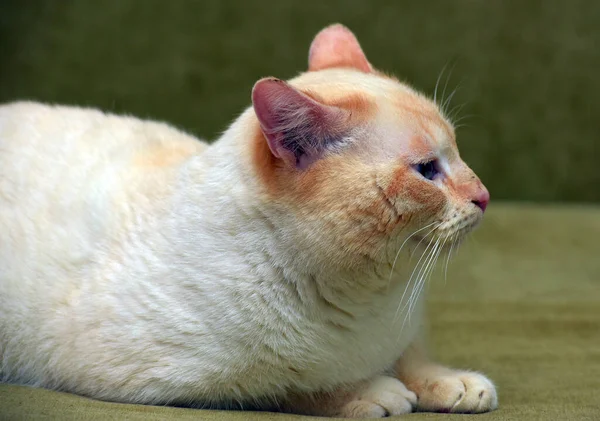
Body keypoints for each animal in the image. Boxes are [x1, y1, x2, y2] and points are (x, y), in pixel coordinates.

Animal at [0, 24, 496, 416]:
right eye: (427, 170)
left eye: (456, 152)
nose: (484, 196)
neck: (367, 299)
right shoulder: (169, 380)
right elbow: (288, 383)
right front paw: (370, 392)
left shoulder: (401, 330)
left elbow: (412, 356)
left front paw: (450, 382)